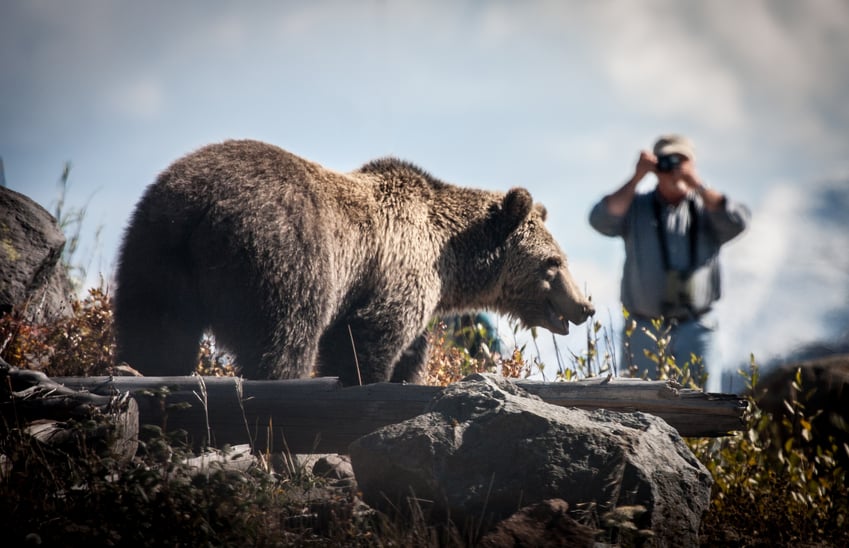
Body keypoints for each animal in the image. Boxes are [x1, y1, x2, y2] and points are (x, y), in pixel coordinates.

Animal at [112, 141, 592, 386]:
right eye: (553, 263)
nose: (585, 306)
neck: (451, 258)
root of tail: (200, 208)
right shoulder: (397, 269)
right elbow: (365, 340)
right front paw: (366, 383)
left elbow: (409, 350)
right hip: (281, 254)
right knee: (284, 338)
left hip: (152, 249)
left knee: (156, 334)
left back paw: (147, 372)